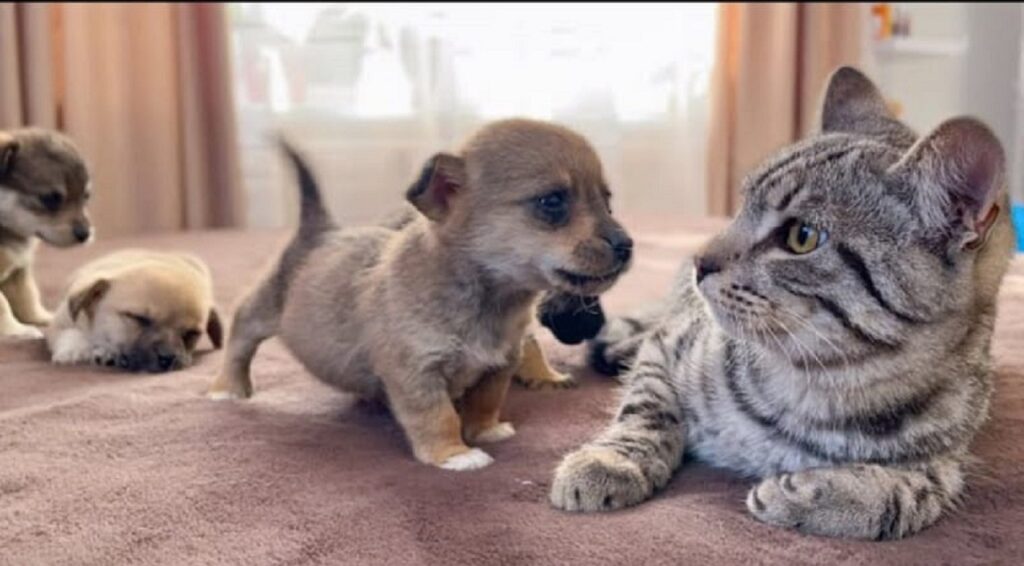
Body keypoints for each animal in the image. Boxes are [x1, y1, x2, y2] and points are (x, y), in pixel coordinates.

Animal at [0, 127, 93, 337]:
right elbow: (3, 305)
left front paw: (43, 319)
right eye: (50, 199)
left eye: (86, 197)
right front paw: (16, 330)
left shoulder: (20, 270)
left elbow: (27, 297)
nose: (86, 234)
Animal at [46, 249, 222, 372]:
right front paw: (73, 351)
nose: (167, 359)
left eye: (192, 333)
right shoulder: (60, 320)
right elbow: (69, 333)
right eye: (139, 318)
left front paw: (104, 351)